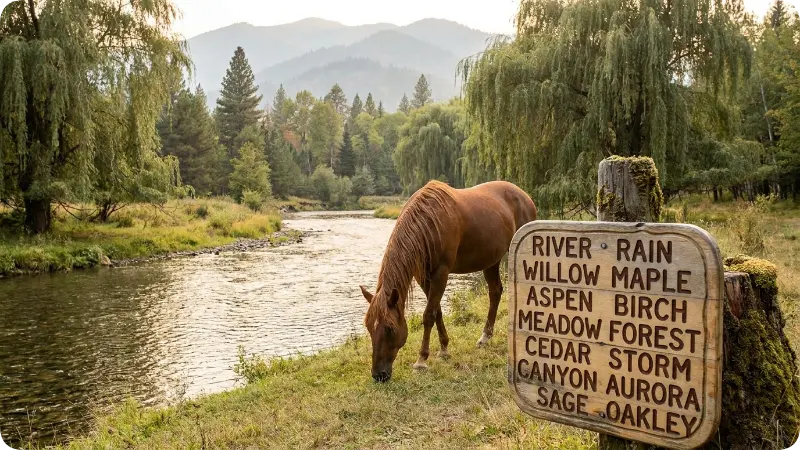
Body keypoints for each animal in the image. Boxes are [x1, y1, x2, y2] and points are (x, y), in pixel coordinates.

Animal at [358, 180, 537, 382]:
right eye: (369, 327)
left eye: (390, 329)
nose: (379, 375)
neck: (428, 223)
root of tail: (524, 196)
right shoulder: (424, 277)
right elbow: (437, 312)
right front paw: (444, 348)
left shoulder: (441, 273)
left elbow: (428, 315)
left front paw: (422, 360)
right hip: (491, 261)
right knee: (495, 292)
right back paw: (485, 336)